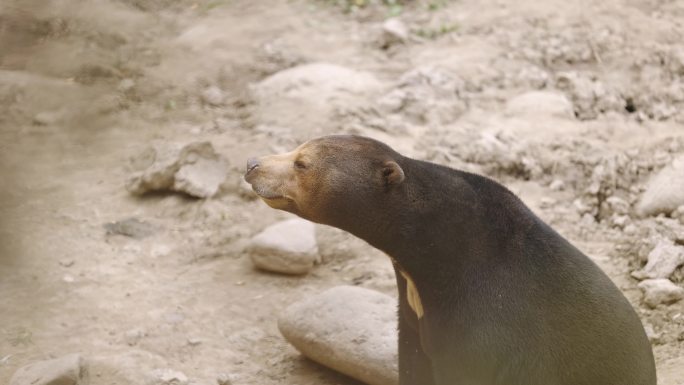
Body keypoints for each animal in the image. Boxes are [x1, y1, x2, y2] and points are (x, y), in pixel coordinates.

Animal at [244, 134, 656, 384]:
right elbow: (413, 363)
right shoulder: (413, 319)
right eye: (296, 150)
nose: (252, 164)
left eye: (302, 163)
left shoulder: (485, 325)